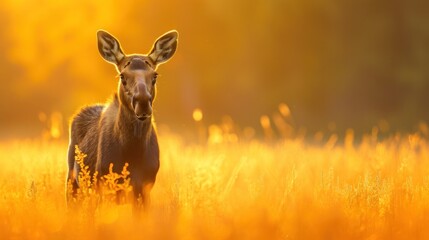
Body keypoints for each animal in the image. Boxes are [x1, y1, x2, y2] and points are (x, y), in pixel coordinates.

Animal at [67, 29, 177, 207]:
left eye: (155, 76)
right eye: (122, 76)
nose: (142, 103)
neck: (133, 153)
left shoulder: (145, 187)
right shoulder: (106, 184)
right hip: (73, 181)